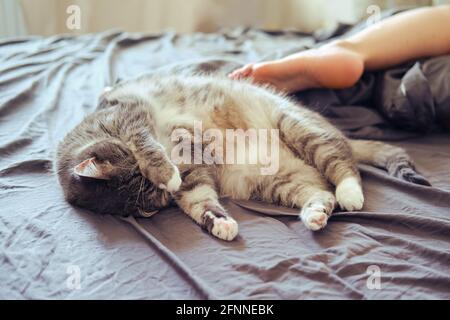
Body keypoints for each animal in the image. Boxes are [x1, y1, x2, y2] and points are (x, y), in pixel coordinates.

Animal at [55, 60, 428, 240]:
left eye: (140, 172)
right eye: (153, 197)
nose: (166, 188)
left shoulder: (131, 115)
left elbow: (146, 144)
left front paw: (163, 169)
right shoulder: (193, 174)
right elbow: (199, 201)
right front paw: (219, 224)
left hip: (297, 127)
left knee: (342, 163)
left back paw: (350, 192)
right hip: (275, 181)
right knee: (321, 194)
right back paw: (315, 214)